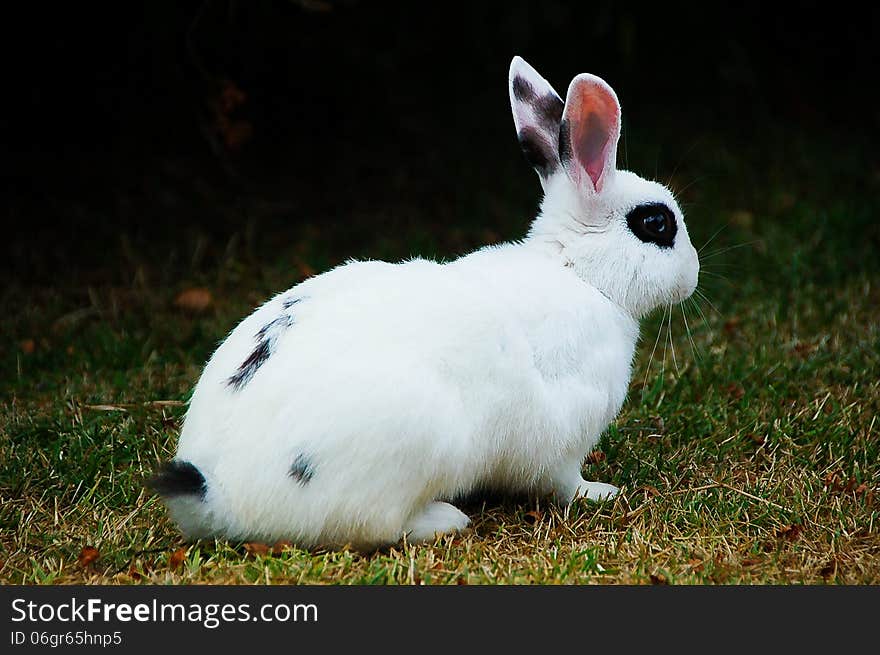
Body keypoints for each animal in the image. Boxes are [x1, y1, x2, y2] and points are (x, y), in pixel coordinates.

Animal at [151, 55, 700, 548]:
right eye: (656, 224)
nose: (693, 274)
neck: (579, 272)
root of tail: (220, 494)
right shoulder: (562, 437)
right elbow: (562, 482)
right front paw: (601, 492)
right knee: (375, 527)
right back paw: (446, 520)